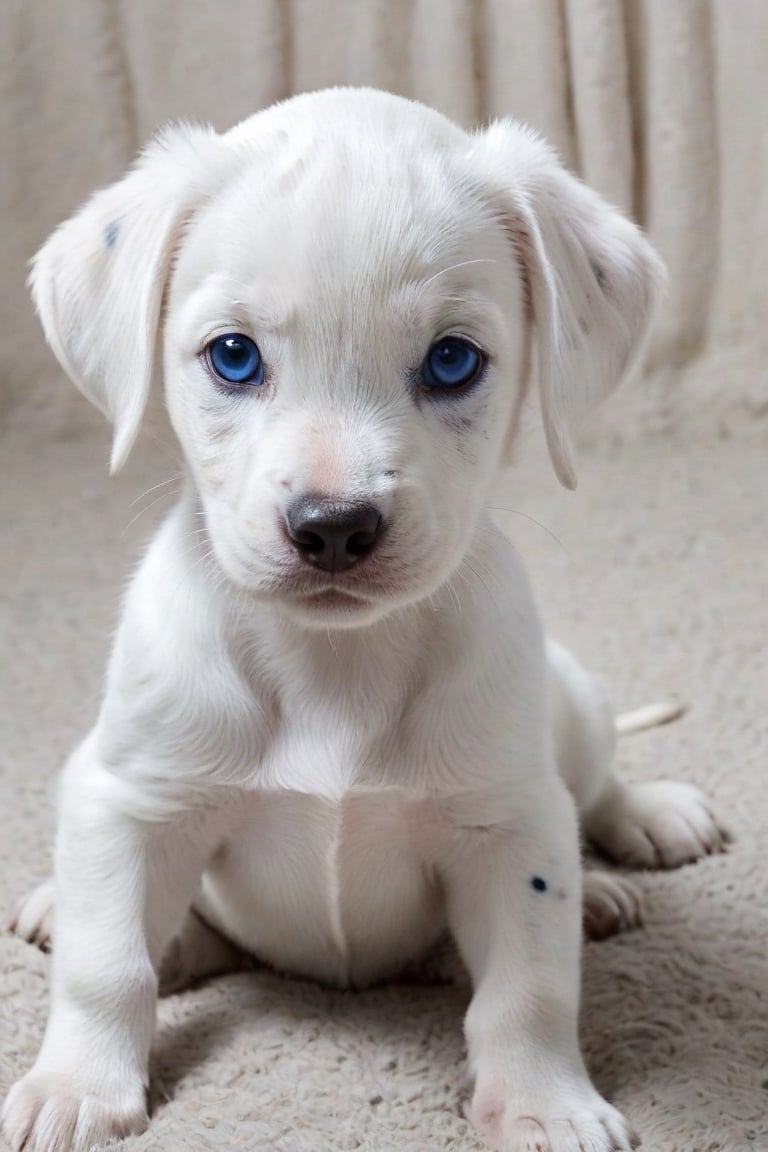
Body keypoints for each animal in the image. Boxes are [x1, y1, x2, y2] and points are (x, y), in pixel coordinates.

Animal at [3, 87, 723, 1152]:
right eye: (233, 356)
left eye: (453, 361)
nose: (334, 528)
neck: (332, 666)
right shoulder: (128, 800)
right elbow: (108, 969)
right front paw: (77, 1086)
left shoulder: (511, 826)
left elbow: (527, 992)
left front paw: (545, 1102)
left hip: (574, 706)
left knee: (591, 791)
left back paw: (633, 840)